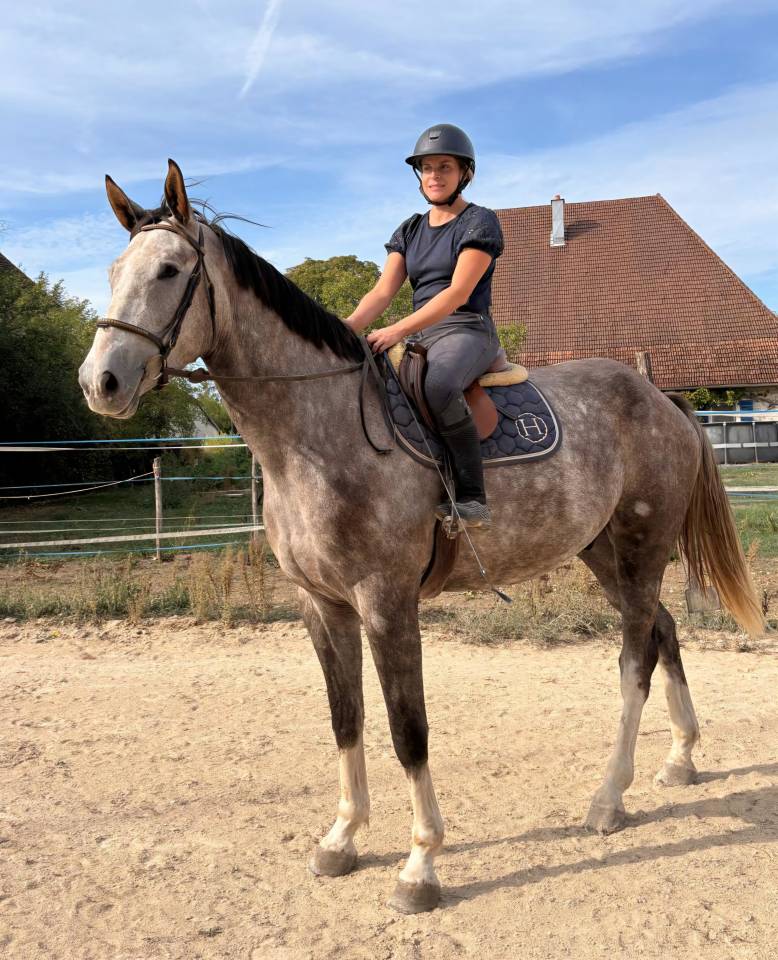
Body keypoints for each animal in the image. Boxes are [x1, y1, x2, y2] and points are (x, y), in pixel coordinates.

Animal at [79, 159, 764, 914]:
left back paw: (610, 797)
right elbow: (345, 717)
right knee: (663, 631)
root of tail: (659, 398)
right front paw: (342, 839)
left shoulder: (386, 602)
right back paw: (681, 758)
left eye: (170, 270)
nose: (100, 382)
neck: (316, 435)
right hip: (604, 552)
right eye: (114, 269)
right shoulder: (323, 606)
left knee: (635, 659)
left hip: (641, 549)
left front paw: (420, 865)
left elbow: (409, 730)